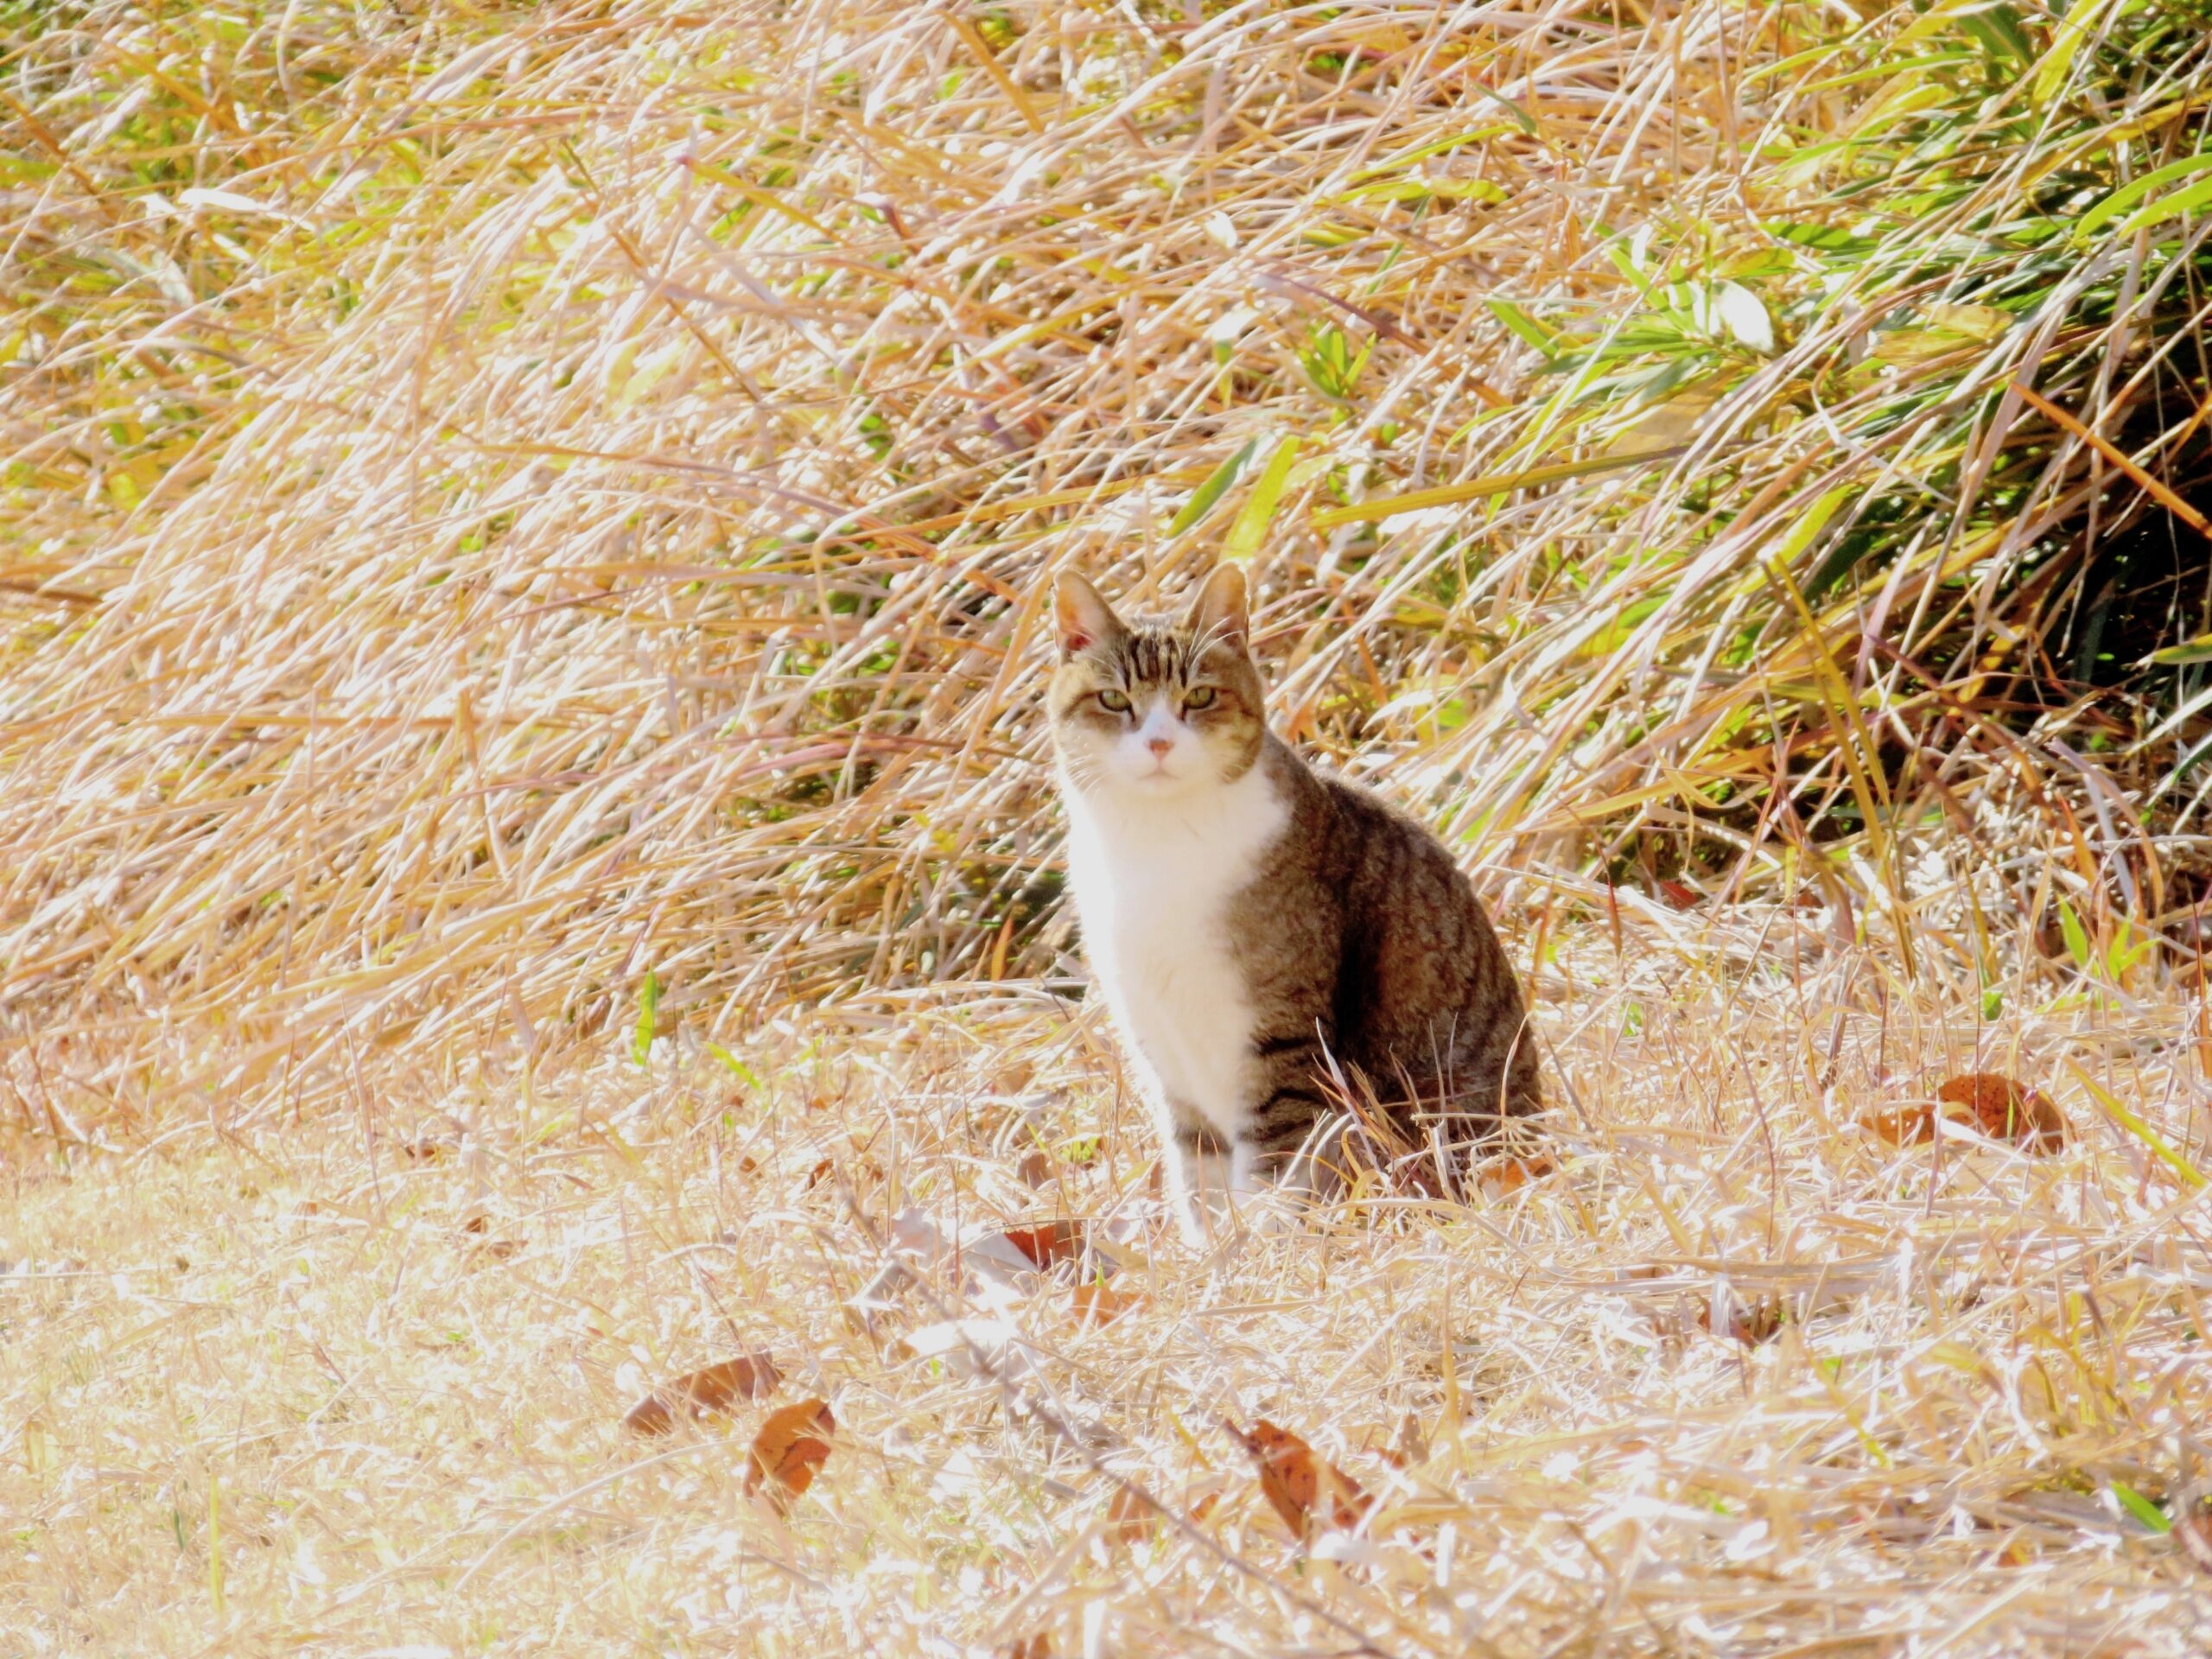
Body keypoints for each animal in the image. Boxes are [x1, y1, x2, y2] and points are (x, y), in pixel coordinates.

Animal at [1048, 566, 1539, 1238]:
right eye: (1114, 701)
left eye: (1200, 697)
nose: (1159, 744)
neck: (1155, 840)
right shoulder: (1160, 1043)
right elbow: (1198, 1170)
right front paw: (1211, 1253)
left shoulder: (1282, 1036)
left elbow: (1272, 1165)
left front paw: (1264, 1244)